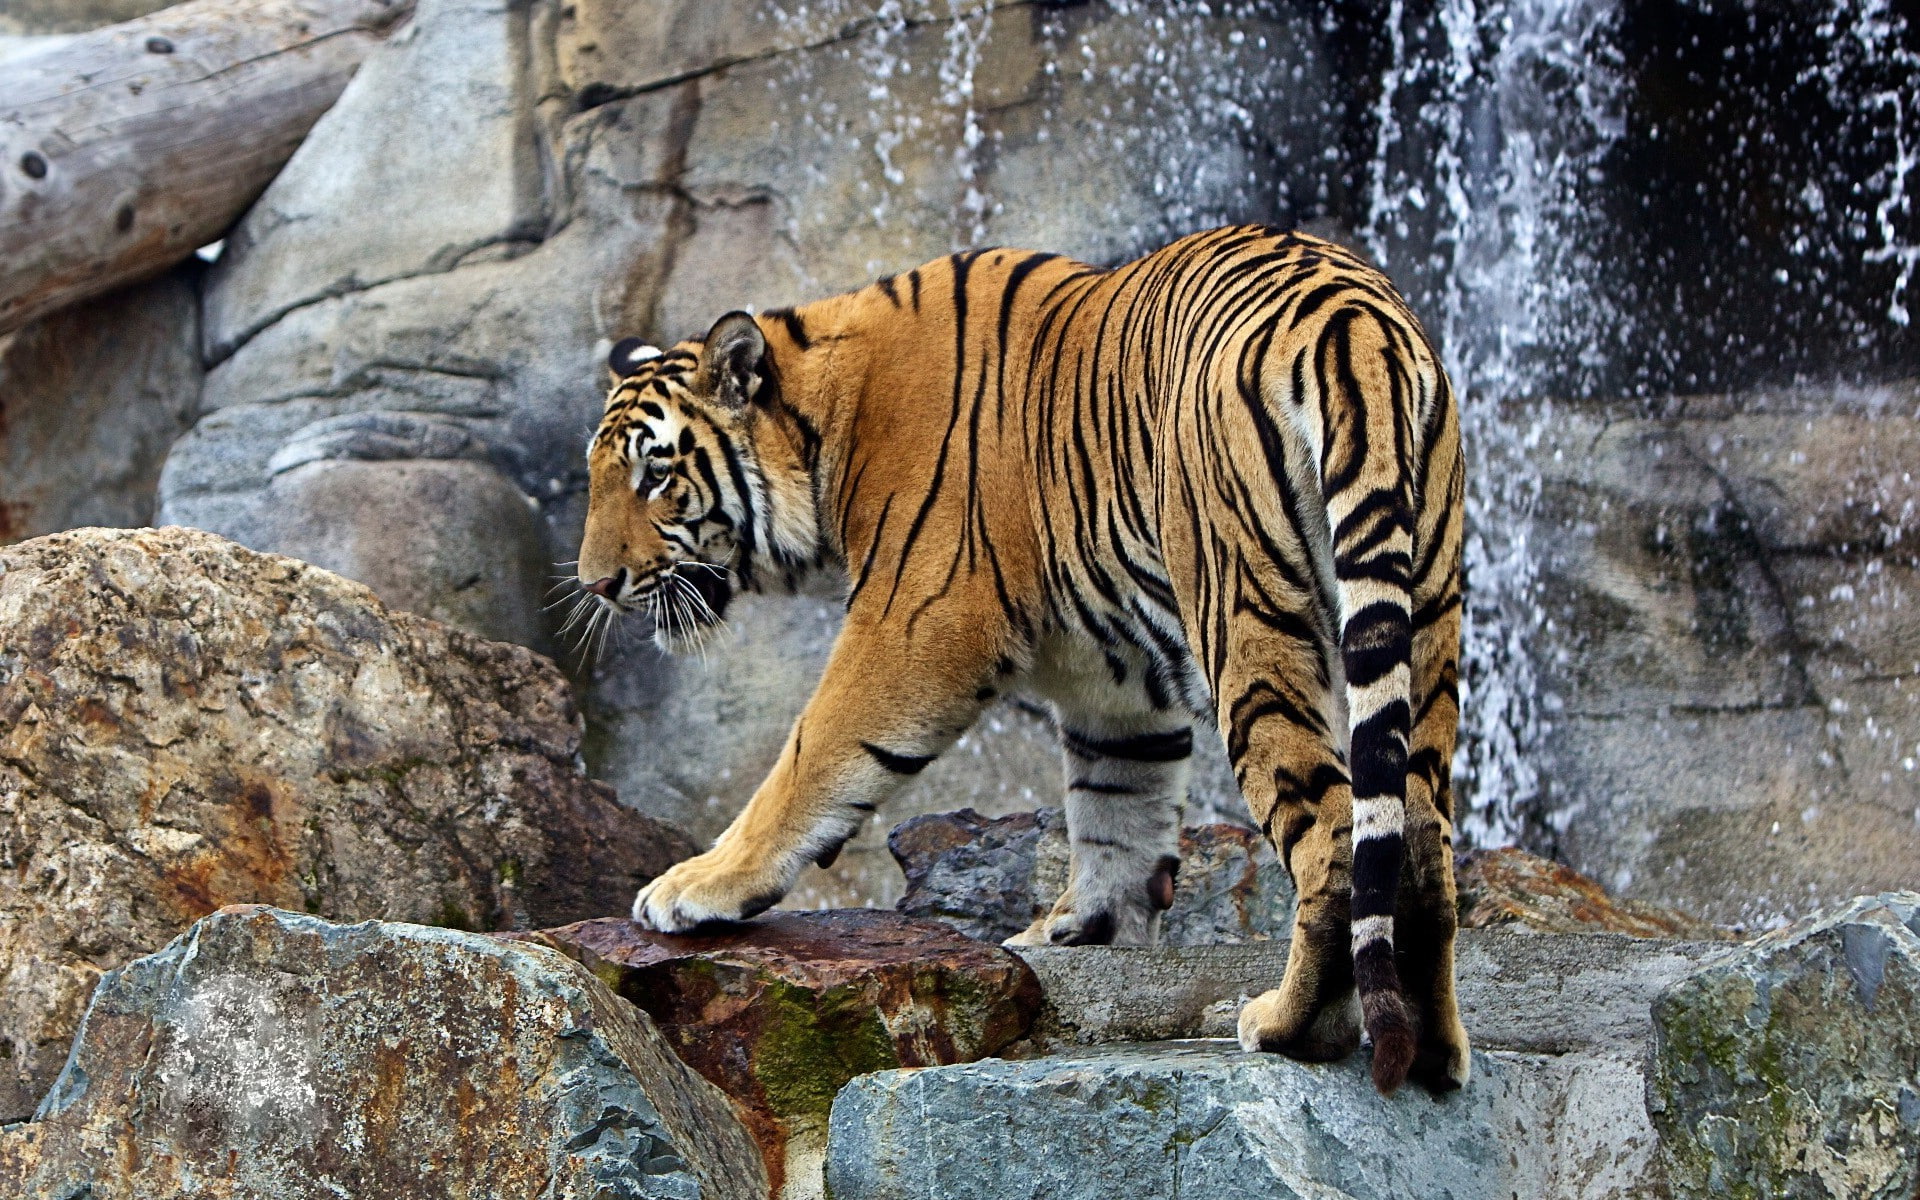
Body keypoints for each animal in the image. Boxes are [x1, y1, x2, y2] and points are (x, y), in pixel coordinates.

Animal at [576, 225, 1468, 1094]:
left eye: (655, 473)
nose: (595, 583)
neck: (824, 422)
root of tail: (1353, 321)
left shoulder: (913, 622)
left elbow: (810, 758)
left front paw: (695, 886)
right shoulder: (1115, 689)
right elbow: (1116, 809)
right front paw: (1082, 933)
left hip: (1246, 618)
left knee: (1334, 830)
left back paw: (1291, 1025)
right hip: (1425, 621)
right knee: (1419, 838)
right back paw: (1432, 1052)